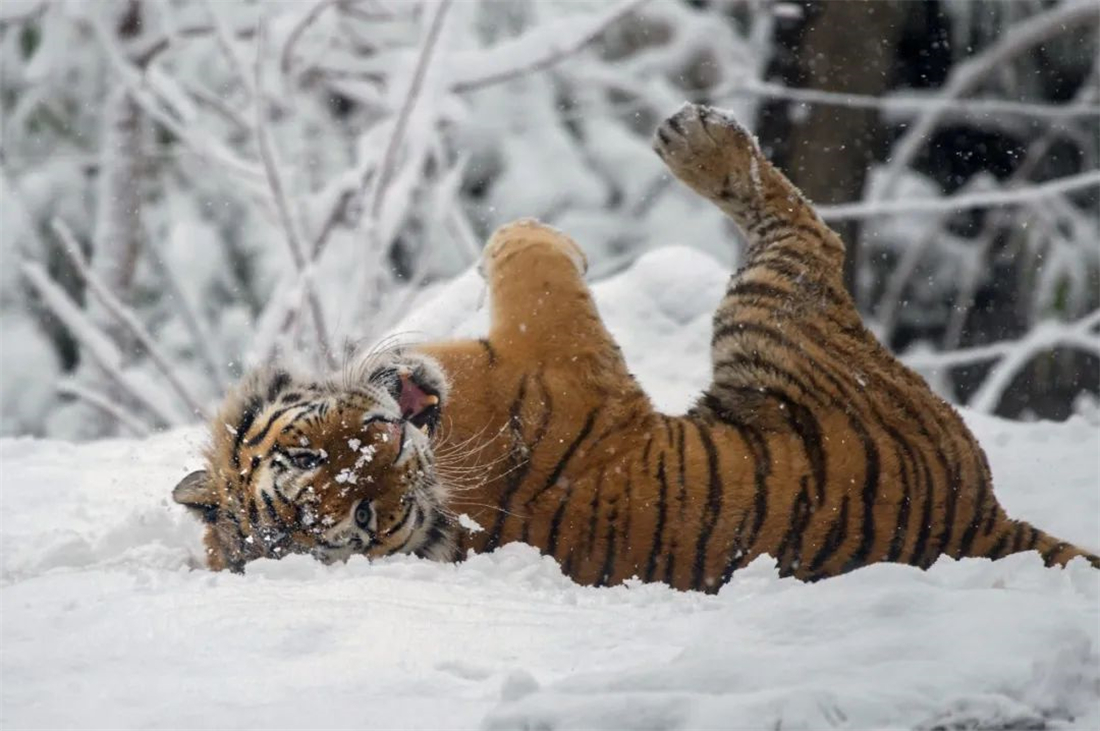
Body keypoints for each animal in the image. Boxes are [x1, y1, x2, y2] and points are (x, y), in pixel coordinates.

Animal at [173, 101, 1100, 589]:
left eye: (311, 458)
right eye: (359, 517)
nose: (389, 435)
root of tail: (987, 520)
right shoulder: (566, 348)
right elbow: (534, 264)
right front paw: (535, 231)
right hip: (775, 326)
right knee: (807, 233)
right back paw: (699, 140)